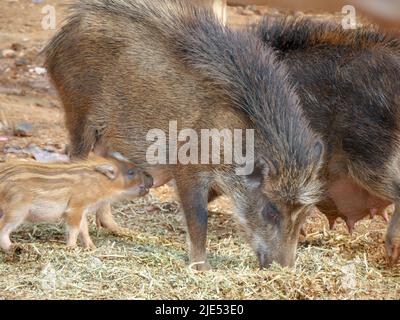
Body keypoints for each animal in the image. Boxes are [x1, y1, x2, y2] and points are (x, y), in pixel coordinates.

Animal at [44, 0, 324, 270]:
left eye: (305, 213)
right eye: (271, 211)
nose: (286, 269)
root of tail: (58, 39)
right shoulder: (187, 167)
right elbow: (198, 219)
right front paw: (203, 269)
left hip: (105, 134)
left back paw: (119, 230)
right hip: (78, 115)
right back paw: (85, 242)